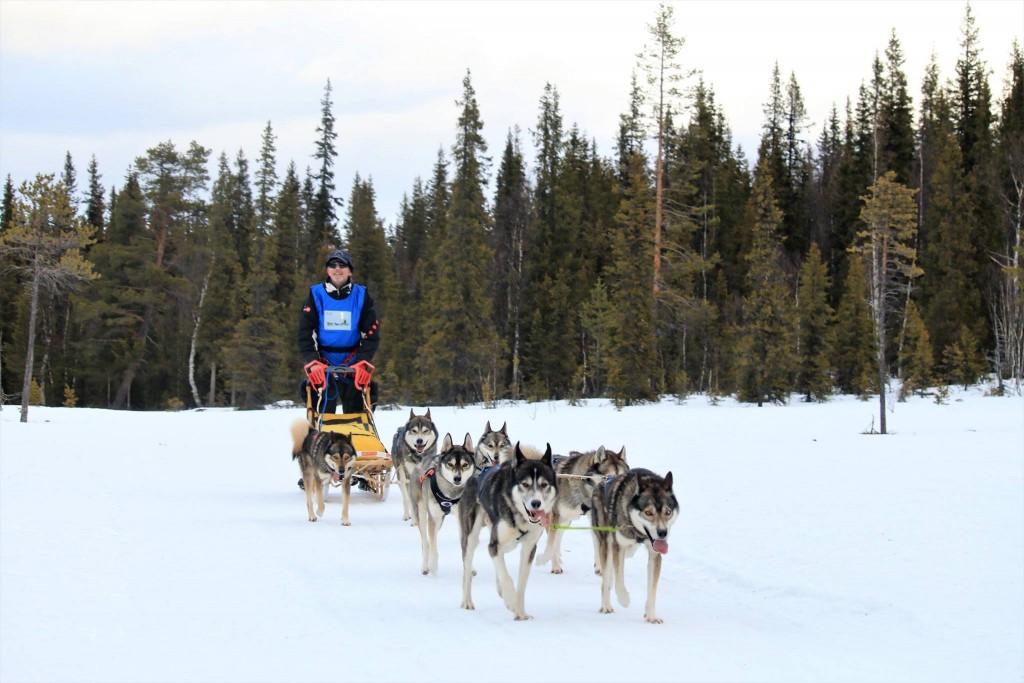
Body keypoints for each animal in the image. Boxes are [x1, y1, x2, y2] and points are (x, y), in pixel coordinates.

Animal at [409, 432, 477, 577]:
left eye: (465, 465)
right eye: (450, 464)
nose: (457, 478)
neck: (450, 495)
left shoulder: (462, 519)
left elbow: (466, 546)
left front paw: (470, 567)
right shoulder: (433, 518)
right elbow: (433, 548)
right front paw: (433, 566)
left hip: (439, 521)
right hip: (422, 514)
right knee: (426, 542)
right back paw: (425, 566)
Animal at [458, 440, 557, 622]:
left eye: (544, 484)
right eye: (525, 484)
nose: (536, 503)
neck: (519, 515)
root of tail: (476, 474)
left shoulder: (529, 548)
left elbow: (521, 583)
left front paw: (520, 612)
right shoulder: (495, 545)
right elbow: (506, 577)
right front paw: (511, 600)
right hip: (471, 538)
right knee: (467, 569)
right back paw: (467, 601)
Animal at [593, 466, 679, 622]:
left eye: (668, 512)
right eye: (648, 512)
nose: (662, 533)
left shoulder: (654, 554)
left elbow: (652, 589)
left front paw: (651, 616)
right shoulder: (618, 547)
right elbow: (619, 581)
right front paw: (624, 599)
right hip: (607, 545)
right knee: (606, 580)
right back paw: (606, 605)